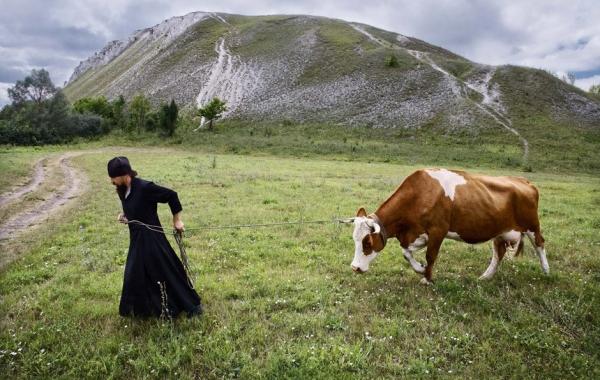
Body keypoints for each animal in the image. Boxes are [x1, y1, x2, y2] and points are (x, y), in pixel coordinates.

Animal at [350, 168, 552, 284]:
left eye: (367, 242)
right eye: (354, 240)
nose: (355, 268)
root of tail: (524, 181)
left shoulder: (438, 230)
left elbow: (430, 256)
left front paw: (427, 278)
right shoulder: (416, 234)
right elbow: (406, 253)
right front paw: (420, 268)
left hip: (532, 225)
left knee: (540, 244)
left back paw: (546, 272)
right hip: (500, 231)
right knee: (498, 253)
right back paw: (485, 277)